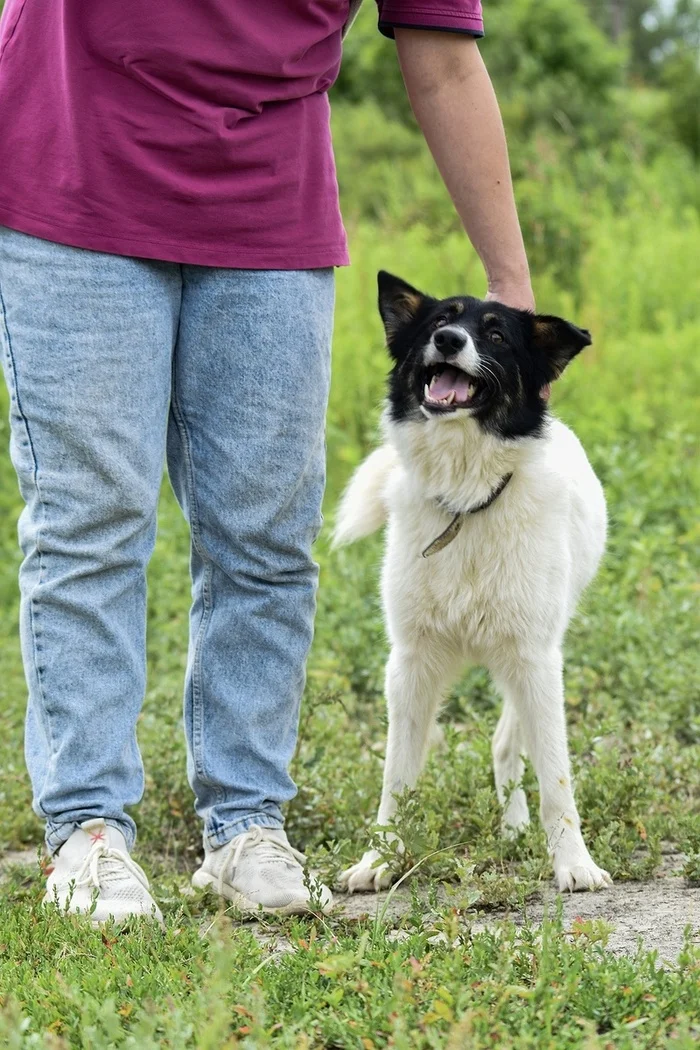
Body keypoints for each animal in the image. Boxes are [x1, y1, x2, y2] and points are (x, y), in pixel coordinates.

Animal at [333, 270, 612, 894]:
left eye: (497, 334)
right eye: (440, 322)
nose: (449, 341)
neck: (465, 498)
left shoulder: (536, 658)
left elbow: (557, 777)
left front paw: (574, 864)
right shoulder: (410, 664)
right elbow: (395, 780)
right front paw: (379, 860)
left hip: (531, 656)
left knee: (509, 740)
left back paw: (516, 827)